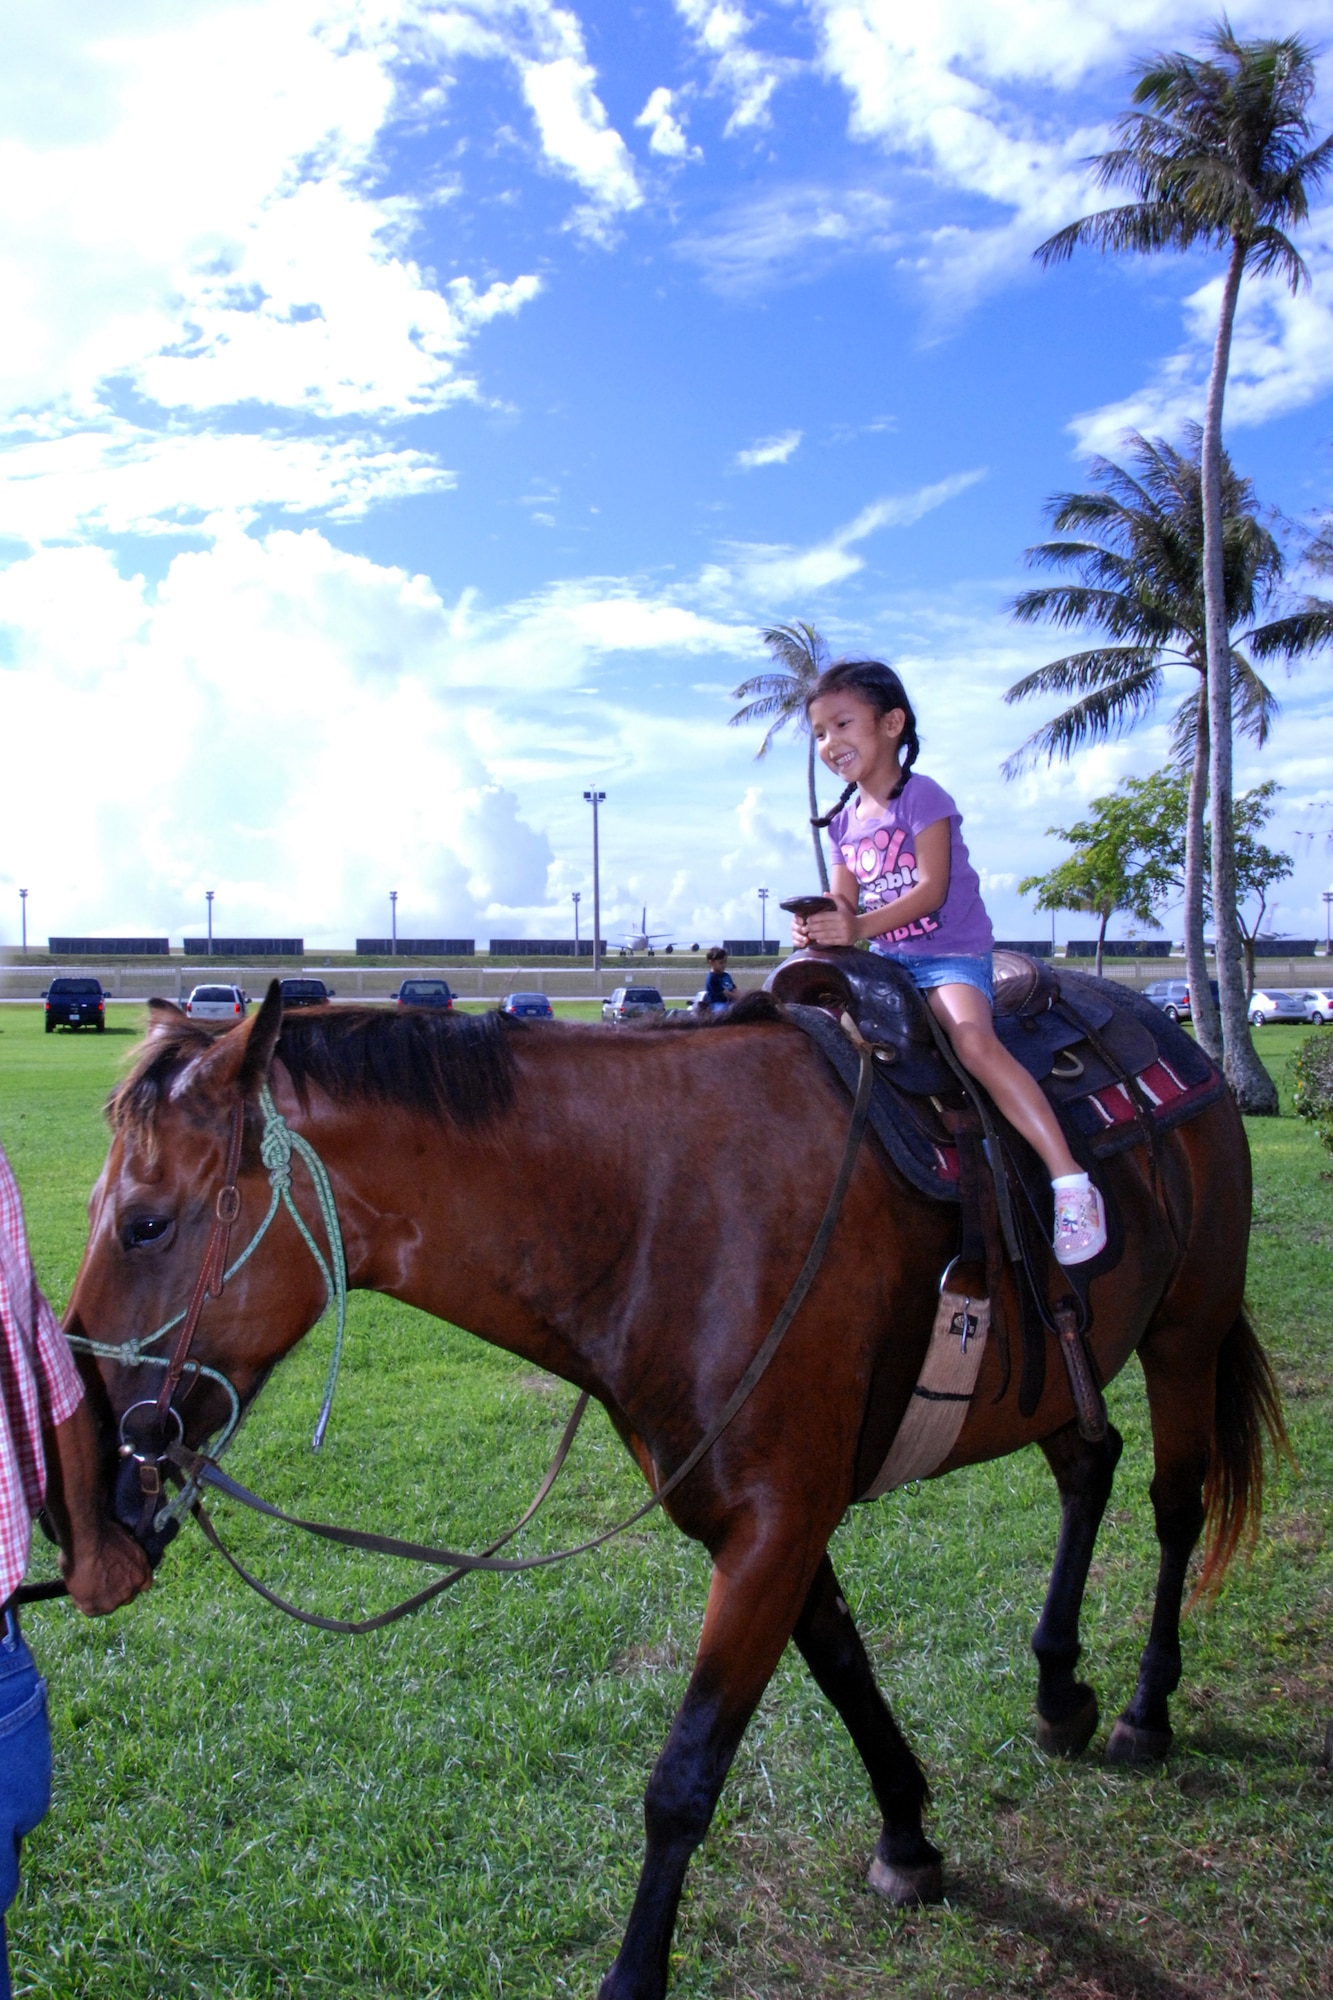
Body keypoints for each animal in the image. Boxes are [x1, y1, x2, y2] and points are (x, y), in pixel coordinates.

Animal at [67, 984, 1280, 2000]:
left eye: (145, 1222)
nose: (87, 1496)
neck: (662, 1213)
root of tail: (1174, 1037)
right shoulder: (766, 1523)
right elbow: (844, 1668)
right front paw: (907, 1834)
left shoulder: (776, 1523)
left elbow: (684, 1774)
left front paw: (635, 1973)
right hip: (1061, 1376)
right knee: (1090, 1465)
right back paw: (1059, 1688)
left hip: (1186, 1331)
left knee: (1175, 1502)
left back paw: (1142, 1707)